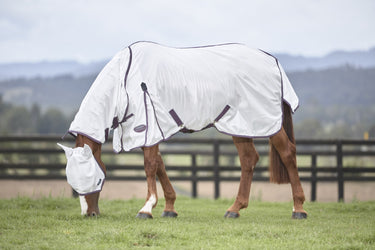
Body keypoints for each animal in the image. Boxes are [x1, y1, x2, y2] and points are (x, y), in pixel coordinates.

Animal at [58, 42, 306, 220]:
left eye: (98, 180)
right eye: (72, 182)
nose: (90, 214)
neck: (125, 82)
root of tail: (273, 61)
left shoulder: (148, 129)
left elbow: (150, 166)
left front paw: (146, 209)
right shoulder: (154, 132)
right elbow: (160, 164)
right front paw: (169, 208)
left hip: (266, 122)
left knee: (287, 153)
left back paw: (298, 209)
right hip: (239, 126)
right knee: (248, 159)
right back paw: (234, 209)